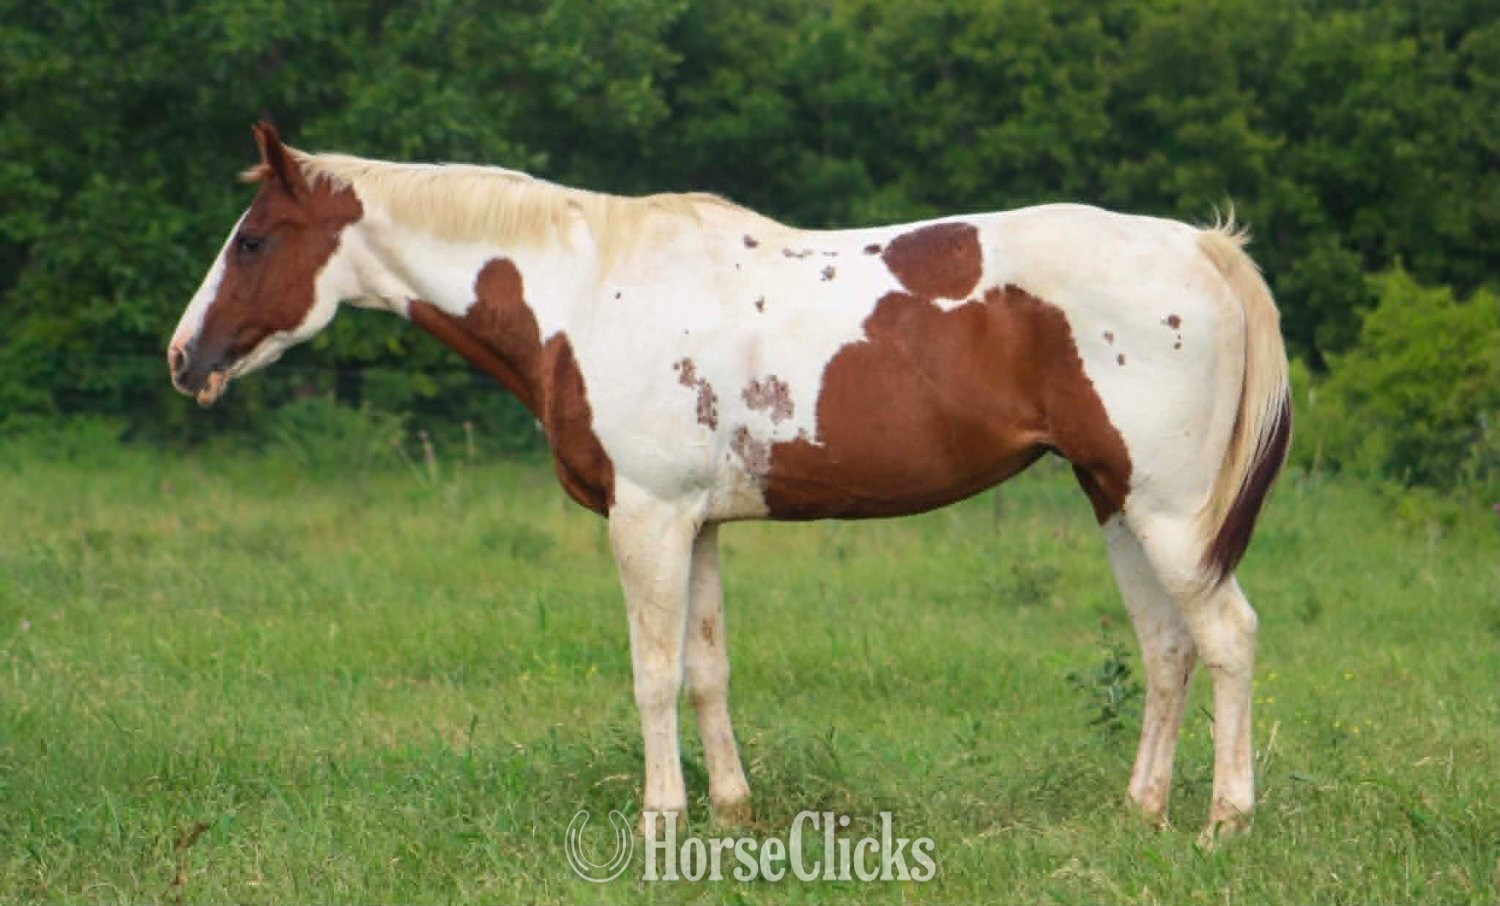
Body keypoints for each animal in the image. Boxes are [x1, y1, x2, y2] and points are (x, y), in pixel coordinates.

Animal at [168, 123, 1290, 843]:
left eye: (252, 240)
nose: (185, 358)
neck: (586, 293)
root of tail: (1203, 248)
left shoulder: (648, 519)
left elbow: (652, 673)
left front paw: (662, 821)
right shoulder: (697, 524)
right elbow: (707, 668)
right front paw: (732, 812)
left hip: (1167, 514)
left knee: (1229, 637)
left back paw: (1224, 823)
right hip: (1115, 501)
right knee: (1167, 649)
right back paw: (1141, 813)